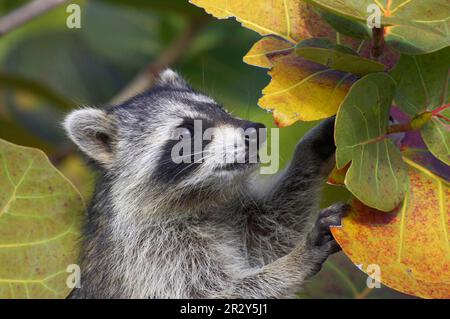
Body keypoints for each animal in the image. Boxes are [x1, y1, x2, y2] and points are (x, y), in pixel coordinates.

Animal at [64, 69, 348, 300]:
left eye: (221, 110)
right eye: (187, 131)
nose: (255, 129)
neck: (200, 197)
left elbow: (270, 227)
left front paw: (311, 149)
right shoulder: (148, 254)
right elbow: (214, 292)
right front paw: (295, 260)